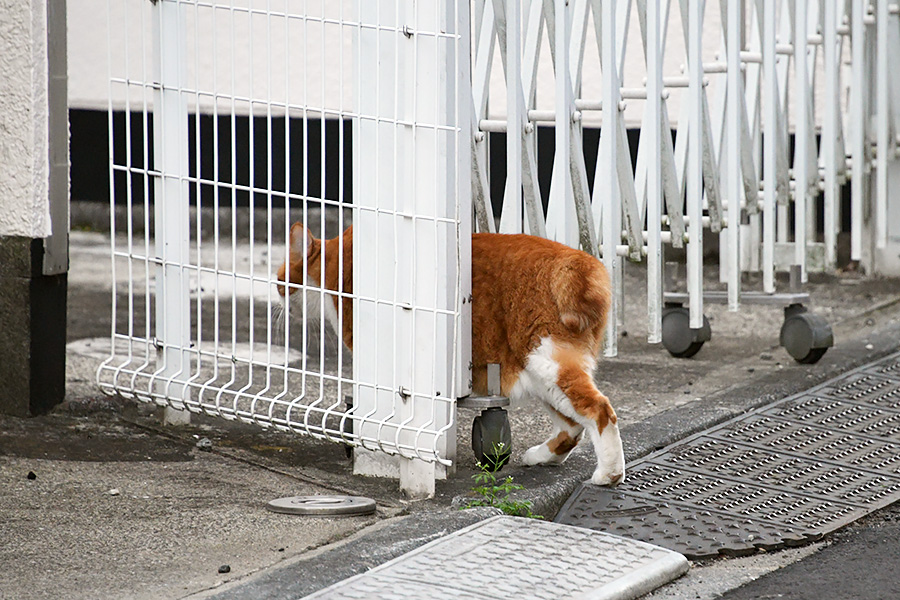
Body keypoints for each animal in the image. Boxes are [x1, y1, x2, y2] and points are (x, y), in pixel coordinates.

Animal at [276, 223, 624, 486]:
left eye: (280, 280)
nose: (275, 297)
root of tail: (582, 262)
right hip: (541, 373)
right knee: (572, 426)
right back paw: (541, 457)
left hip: (547, 361)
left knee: (599, 411)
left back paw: (609, 474)